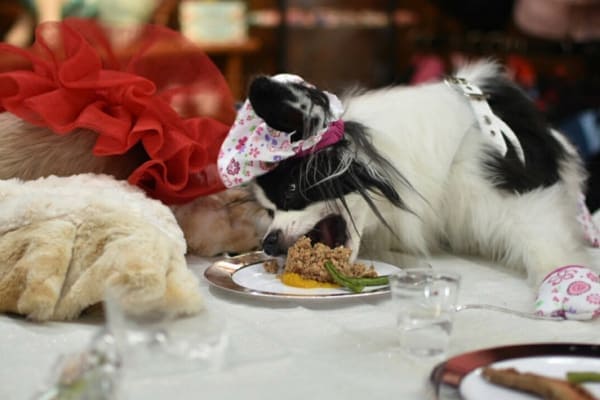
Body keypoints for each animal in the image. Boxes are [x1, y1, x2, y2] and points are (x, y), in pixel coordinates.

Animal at [244, 61, 592, 288]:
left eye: (291, 191)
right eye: (268, 211)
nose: (269, 243)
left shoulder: (515, 191)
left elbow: (546, 245)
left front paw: (563, 281)